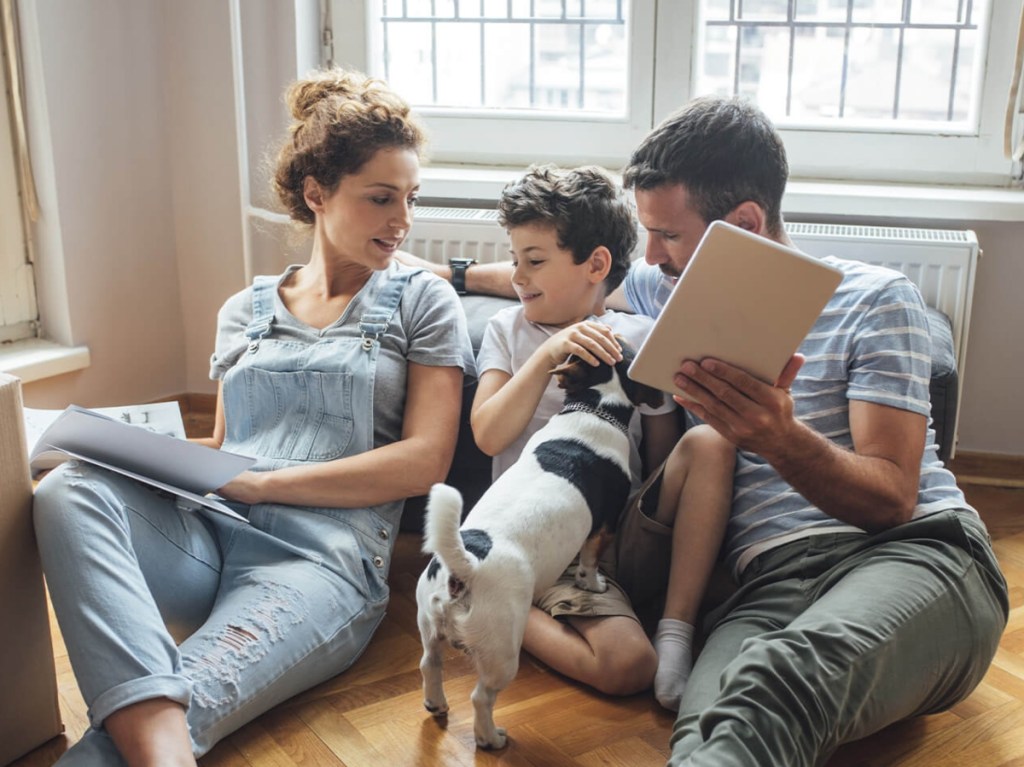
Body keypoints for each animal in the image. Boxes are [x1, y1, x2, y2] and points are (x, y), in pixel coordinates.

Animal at [415, 342, 663, 749]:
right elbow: (590, 561)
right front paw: (592, 584)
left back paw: (436, 704)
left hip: (430, 624)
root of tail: (466, 566)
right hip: (502, 652)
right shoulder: (604, 526)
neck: (597, 406)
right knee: (481, 697)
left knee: (429, 664)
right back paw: (490, 738)